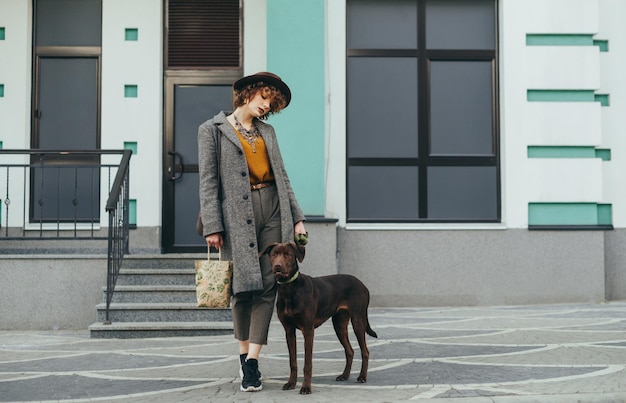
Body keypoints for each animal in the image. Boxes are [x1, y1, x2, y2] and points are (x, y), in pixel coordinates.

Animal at [260, 243, 376, 394]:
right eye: (274, 254)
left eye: (288, 255)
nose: (277, 266)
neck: (289, 289)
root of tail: (362, 284)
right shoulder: (289, 331)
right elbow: (293, 362)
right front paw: (291, 383)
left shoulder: (308, 330)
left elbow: (307, 363)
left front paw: (306, 387)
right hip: (339, 325)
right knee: (349, 351)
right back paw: (344, 375)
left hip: (358, 321)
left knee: (365, 351)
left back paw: (362, 377)